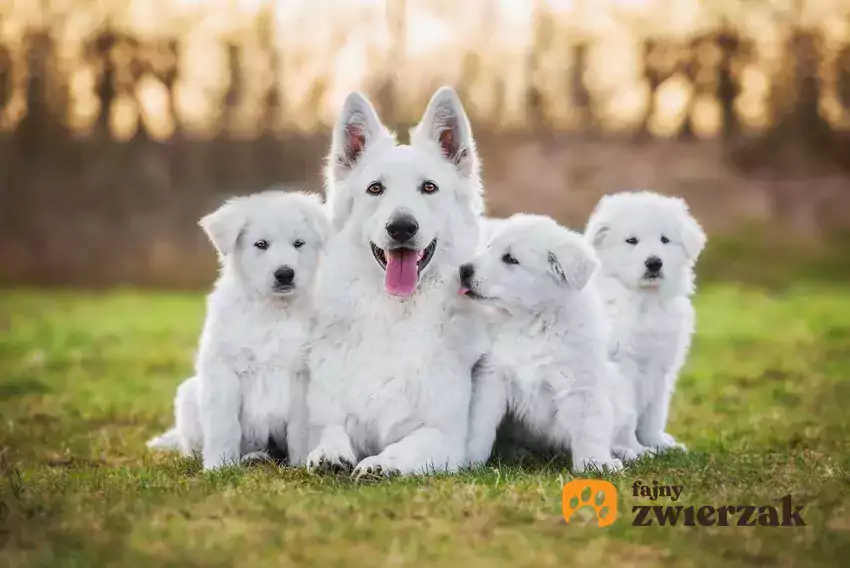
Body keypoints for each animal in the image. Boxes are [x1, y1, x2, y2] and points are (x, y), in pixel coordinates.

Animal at [144, 191, 330, 470]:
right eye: (261, 244)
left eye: (299, 243)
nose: (285, 274)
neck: (271, 311)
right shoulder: (224, 371)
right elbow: (224, 427)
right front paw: (218, 468)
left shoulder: (302, 374)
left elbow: (300, 429)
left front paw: (300, 465)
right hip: (189, 396)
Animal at [304, 87, 486, 480]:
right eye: (376, 189)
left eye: (429, 187)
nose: (401, 227)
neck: (395, 316)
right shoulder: (328, 414)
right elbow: (330, 430)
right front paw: (329, 453)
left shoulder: (444, 436)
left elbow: (409, 444)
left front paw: (382, 463)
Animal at [460, 215, 620, 472]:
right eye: (489, 247)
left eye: (510, 258)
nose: (463, 270)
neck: (532, 323)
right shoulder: (492, 376)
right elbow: (480, 424)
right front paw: (468, 462)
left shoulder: (581, 384)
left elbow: (589, 429)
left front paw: (595, 464)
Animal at [584, 193, 704, 454]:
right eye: (632, 241)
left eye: (664, 240)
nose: (654, 263)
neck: (645, 301)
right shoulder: (624, 369)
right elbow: (628, 416)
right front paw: (638, 451)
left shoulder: (662, 368)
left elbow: (655, 414)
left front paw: (658, 444)